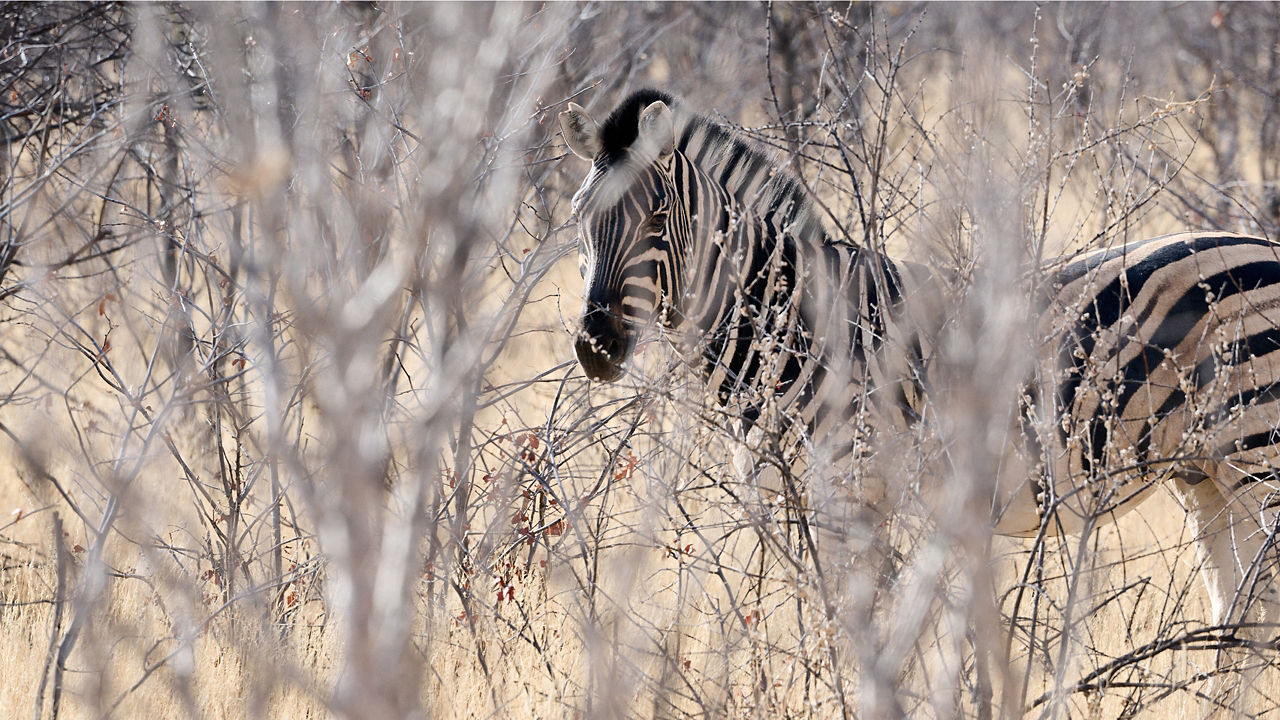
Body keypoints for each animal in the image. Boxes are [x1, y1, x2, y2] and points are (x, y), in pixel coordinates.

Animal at [565, 88, 1280, 638]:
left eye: (658, 216)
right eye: (577, 219)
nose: (594, 347)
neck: (787, 325)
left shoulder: (851, 487)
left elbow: (854, 630)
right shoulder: (788, 503)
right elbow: (809, 620)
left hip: (1256, 453)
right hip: (1204, 475)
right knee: (1240, 616)